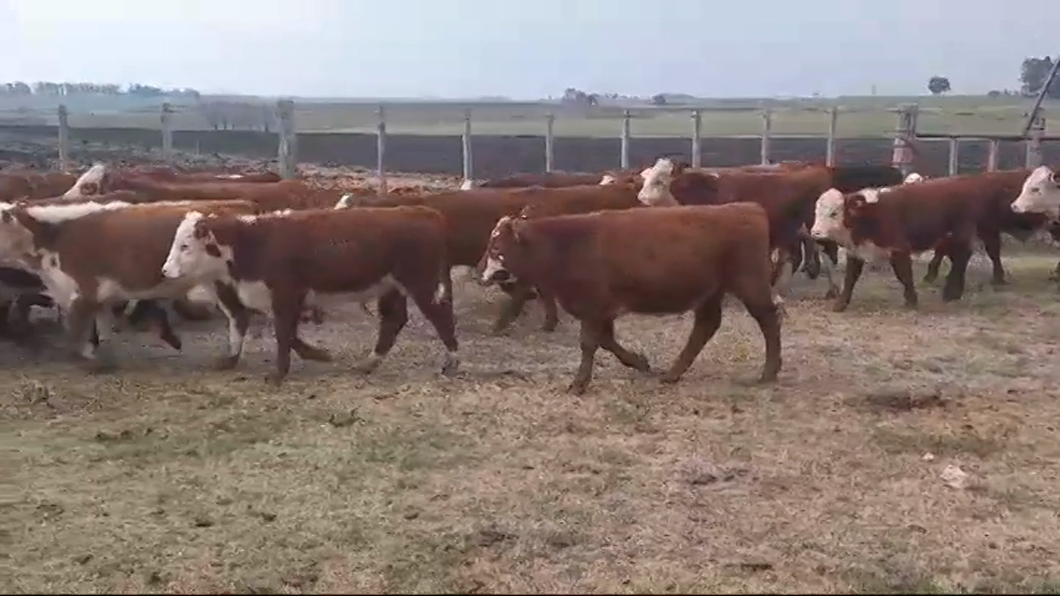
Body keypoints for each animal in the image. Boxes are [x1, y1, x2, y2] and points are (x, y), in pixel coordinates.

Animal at [158, 205, 457, 379]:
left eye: (185, 245)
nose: (165, 270)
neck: (255, 242)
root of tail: (424, 212)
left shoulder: (285, 294)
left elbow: (282, 333)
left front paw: (279, 374)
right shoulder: (286, 298)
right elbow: (286, 332)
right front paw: (316, 354)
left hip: (422, 285)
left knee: (441, 316)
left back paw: (451, 363)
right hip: (393, 288)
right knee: (393, 322)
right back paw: (369, 363)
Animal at [476, 203, 784, 394]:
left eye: (496, 247)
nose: (479, 271)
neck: (569, 244)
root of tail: (748, 208)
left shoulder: (594, 306)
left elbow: (589, 343)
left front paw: (579, 383)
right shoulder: (602, 310)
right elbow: (607, 341)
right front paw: (639, 362)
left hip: (750, 285)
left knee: (769, 320)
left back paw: (769, 372)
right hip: (711, 291)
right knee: (706, 326)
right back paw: (672, 374)